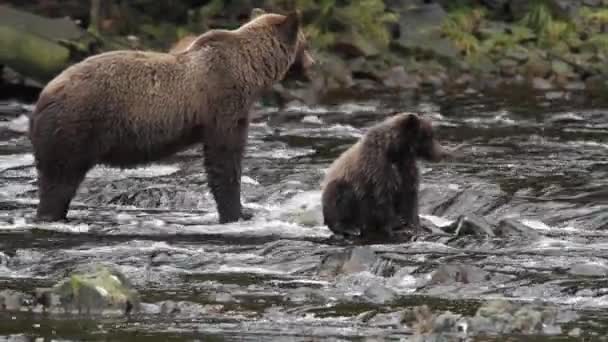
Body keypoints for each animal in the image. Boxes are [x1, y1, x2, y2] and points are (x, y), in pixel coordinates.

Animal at [27, 9, 314, 223]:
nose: (313, 64)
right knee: (59, 180)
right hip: (76, 125)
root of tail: (45, 93)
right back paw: (52, 214)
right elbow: (224, 159)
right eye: (305, 43)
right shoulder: (222, 103)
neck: (250, 72)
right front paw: (237, 212)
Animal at [324, 113, 452, 242]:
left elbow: (409, 195)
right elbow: (383, 196)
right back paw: (351, 228)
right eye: (428, 136)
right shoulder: (376, 168)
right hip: (340, 188)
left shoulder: (406, 167)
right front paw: (396, 224)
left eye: (432, 135)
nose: (443, 153)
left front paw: (414, 223)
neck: (396, 152)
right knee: (340, 201)